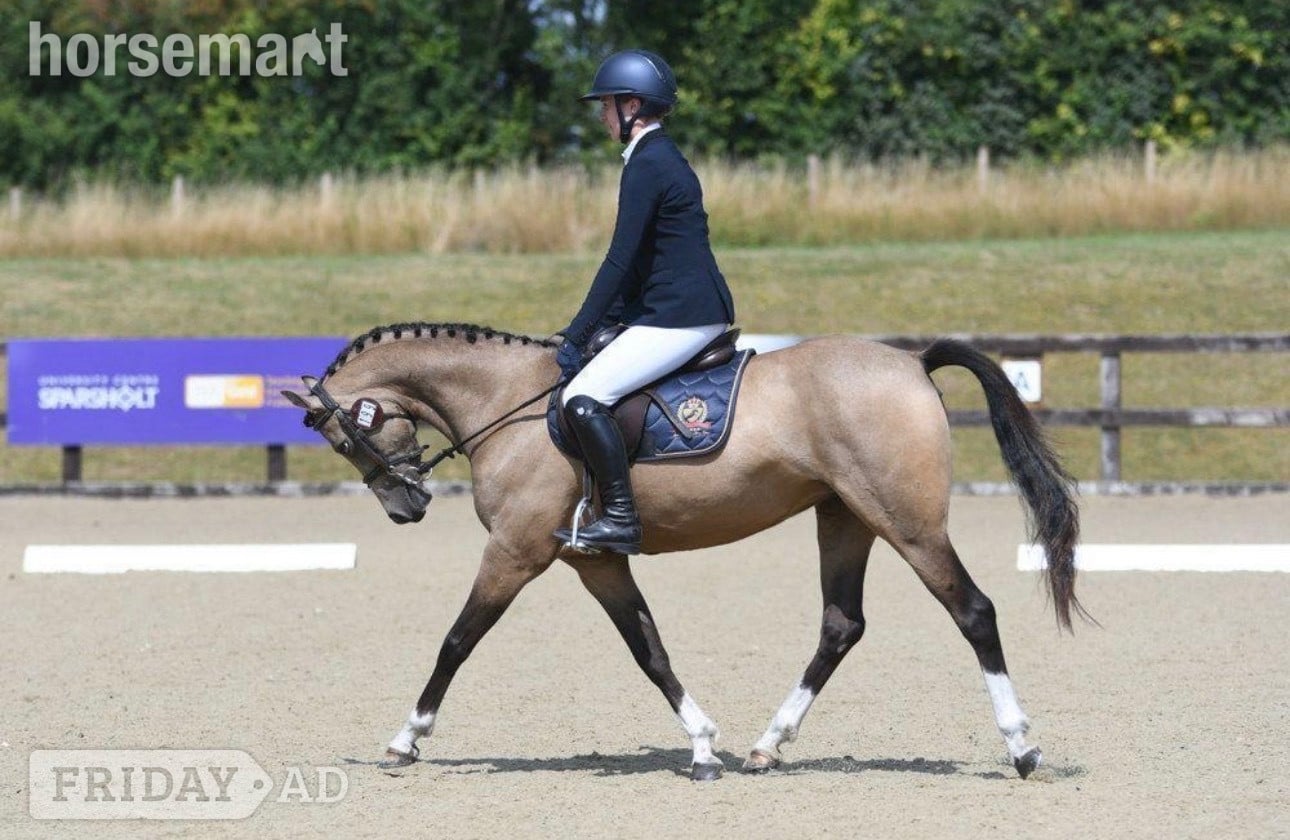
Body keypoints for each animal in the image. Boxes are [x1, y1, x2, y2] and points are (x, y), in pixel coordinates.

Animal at [281, 321, 1084, 782]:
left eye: (339, 436)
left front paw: (406, 739)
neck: (506, 404)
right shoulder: (595, 559)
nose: (406, 507)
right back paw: (767, 746)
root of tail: (913, 364)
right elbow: (649, 649)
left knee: (973, 611)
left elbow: (456, 640)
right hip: (844, 517)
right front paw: (702, 746)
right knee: (841, 625)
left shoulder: (515, 550)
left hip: (906, 522)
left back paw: (1022, 749)